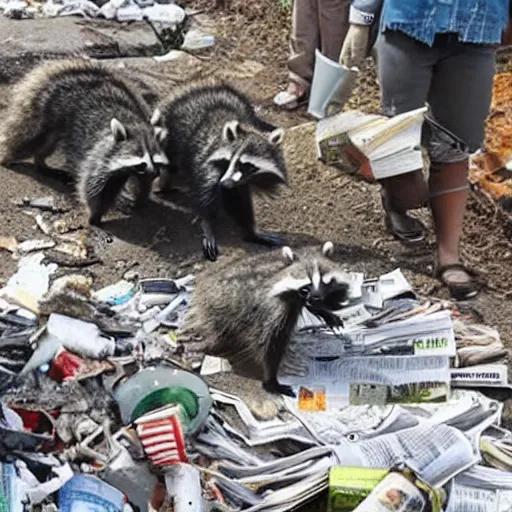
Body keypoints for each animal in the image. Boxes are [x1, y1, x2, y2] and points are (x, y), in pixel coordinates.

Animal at [0, 59, 168, 225]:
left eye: (156, 162)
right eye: (142, 163)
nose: (154, 172)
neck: (135, 124)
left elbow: (138, 183)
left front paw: (140, 198)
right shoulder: (101, 156)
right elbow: (92, 187)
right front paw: (95, 214)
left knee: (46, 145)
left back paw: (40, 162)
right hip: (45, 109)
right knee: (30, 140)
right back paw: (10, 156)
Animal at [152, 82, 288, 264]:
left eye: (248, 166)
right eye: (231, 160)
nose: (226, 183)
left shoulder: (241, 180)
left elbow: (241, 201)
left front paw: (250, 231)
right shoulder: (207, 159)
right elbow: (206, 193)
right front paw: (208, 224)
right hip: (168, 130)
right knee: (171, 163)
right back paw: (164, 183)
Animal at [180, 241, 352, 396]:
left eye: (324, 283)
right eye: (306, 287)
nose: (316, 298)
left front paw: (325, 312)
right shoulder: (270, 307)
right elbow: (269, 343)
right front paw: (272, 377)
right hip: (225, 310)